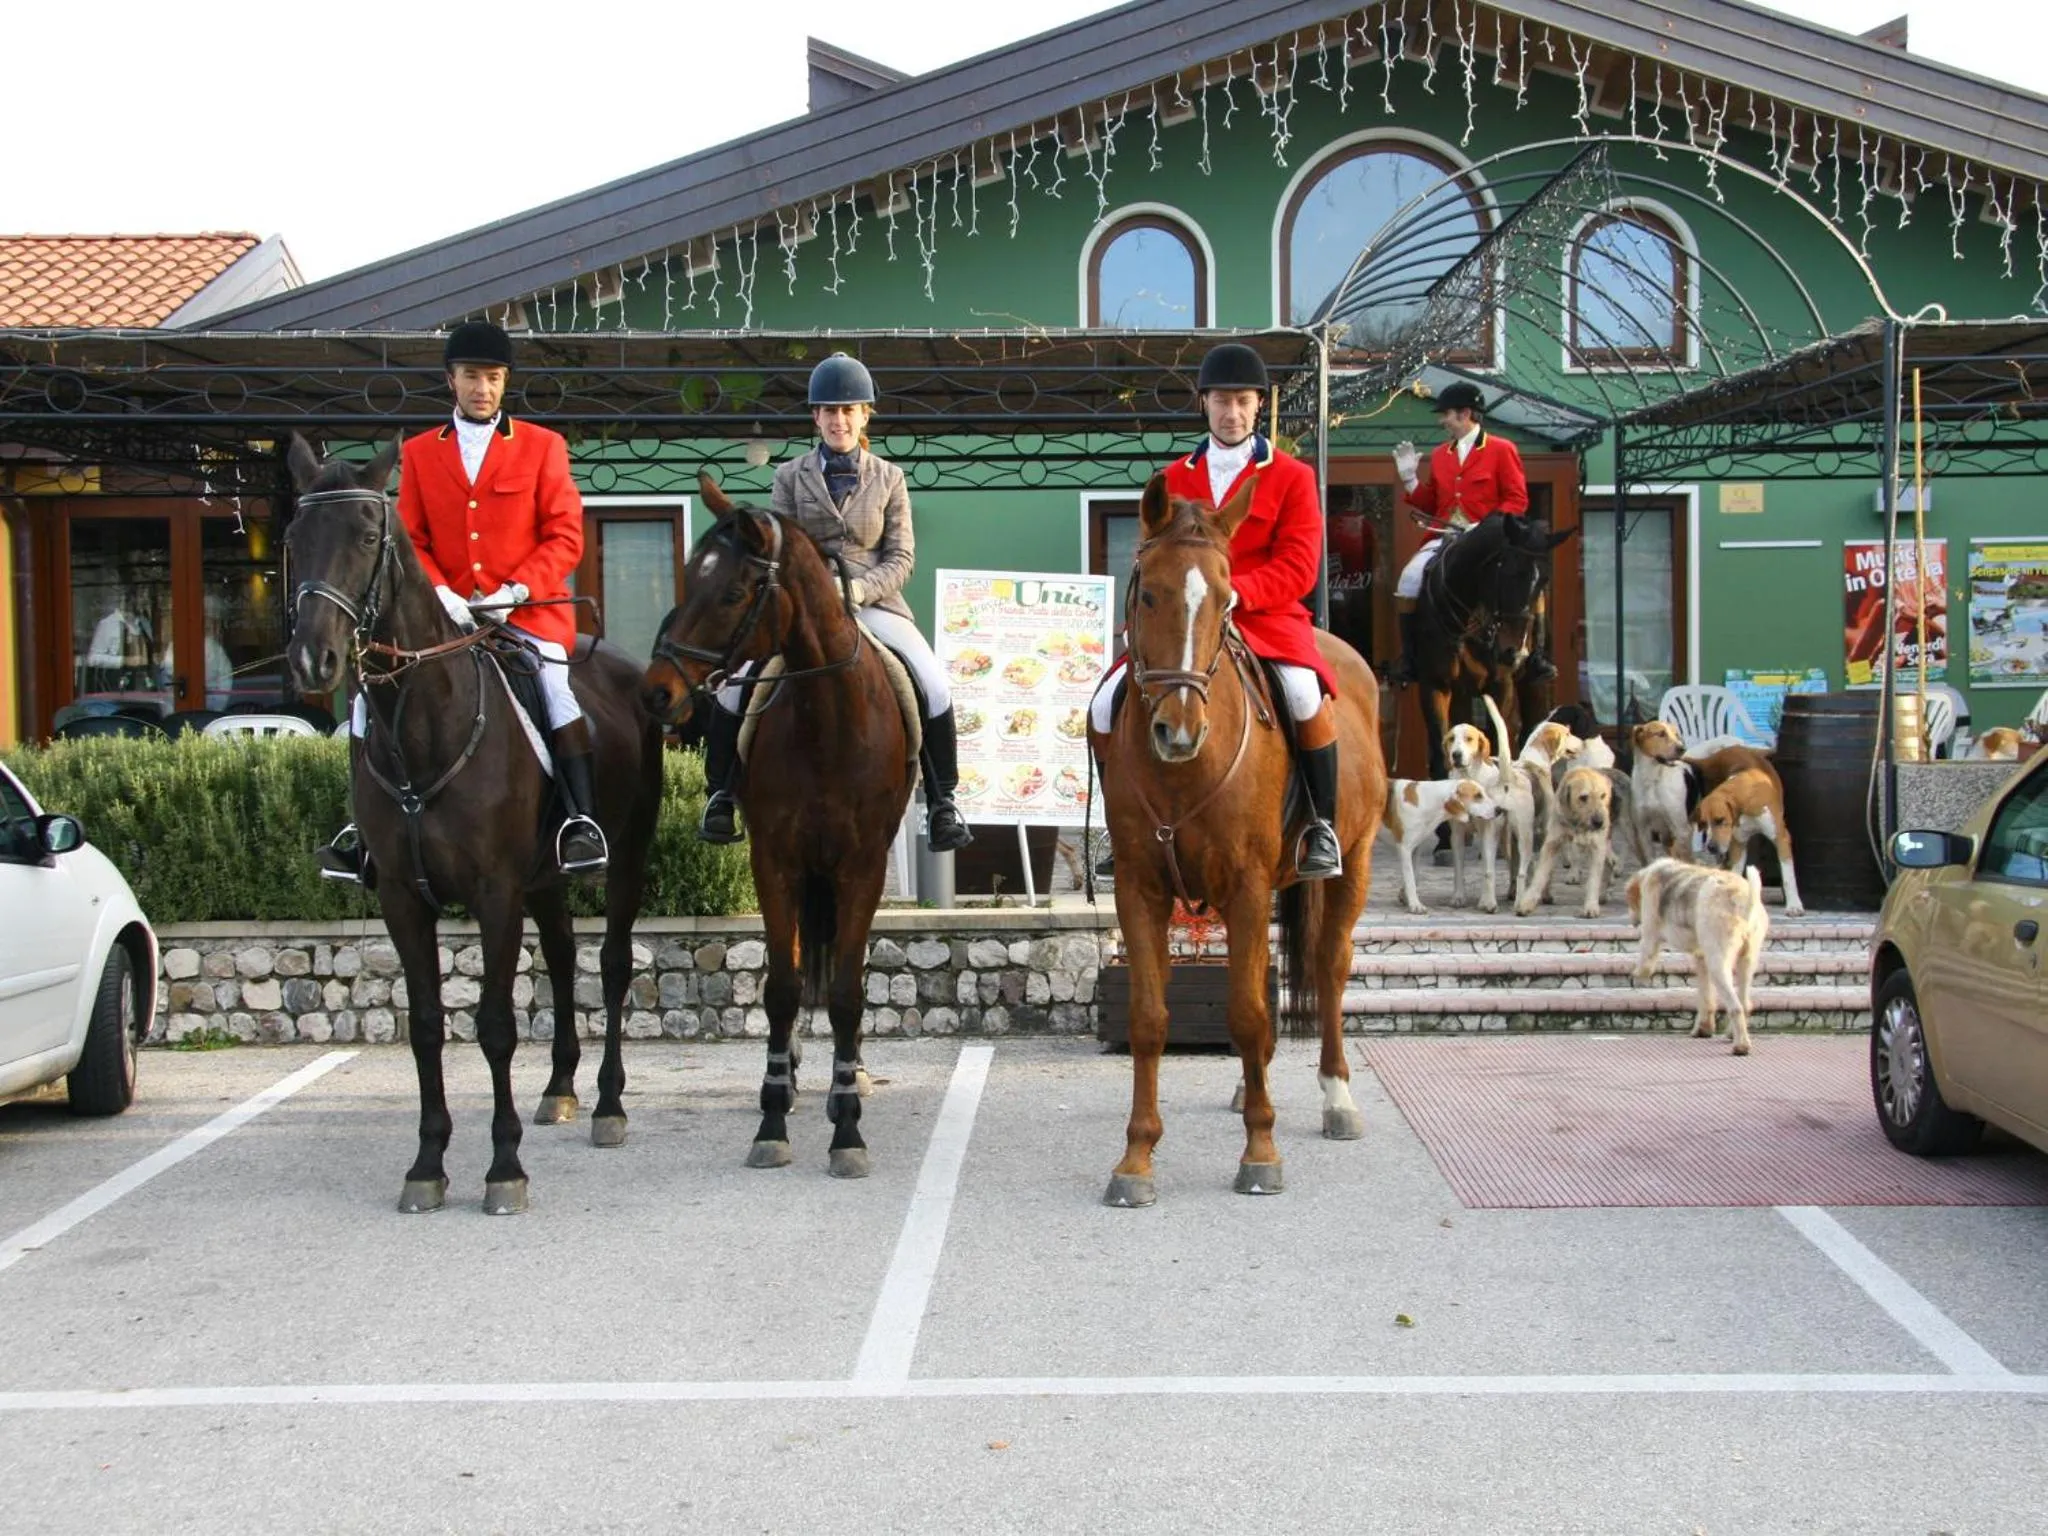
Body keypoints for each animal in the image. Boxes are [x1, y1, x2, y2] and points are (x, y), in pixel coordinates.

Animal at [283, 435, 664, 1215]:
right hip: (543, 881)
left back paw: (607, 1104)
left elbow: (493, 1026)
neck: (423, 728)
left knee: (611, 963)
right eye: (293, 538)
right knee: (561, 958)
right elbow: (428, 1026)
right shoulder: (402, 897)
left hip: (626, 856)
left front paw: (503, 1167)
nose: (313, 658)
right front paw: (427, 1162)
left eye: (366, 536)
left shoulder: (494, 894)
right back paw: (559, 1089)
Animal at [640, 474, 914, 1178]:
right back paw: (789, 1076)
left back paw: (849, 1076)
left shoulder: (862, 868)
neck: (828, 719)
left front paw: (848, 1127)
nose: (656, 694)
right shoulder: (775, 862)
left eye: (734, 592)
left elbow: (846, 992)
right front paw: (771, 1117)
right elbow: (783, 990)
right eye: (687, 576)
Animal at [1091, 472, 1388, 1206]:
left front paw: (1261, 1152)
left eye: (1228, 600)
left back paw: (1337, 1098)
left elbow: (1249, 1014)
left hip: (1354, 863)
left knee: (1330, 968)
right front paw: (1136, 1158)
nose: (1179, 730)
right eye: (1148, 593)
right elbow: (1150, 1018)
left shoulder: (1248, 887)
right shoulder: (1141, 890)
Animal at [1414, 512, 1574, 783]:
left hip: (1532, 686)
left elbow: (1496, 744)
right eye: (1509, 572)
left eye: (1543, 580)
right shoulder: (1435, 684)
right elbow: (1441, 753)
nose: (1515, 653)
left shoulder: (1501, 685)